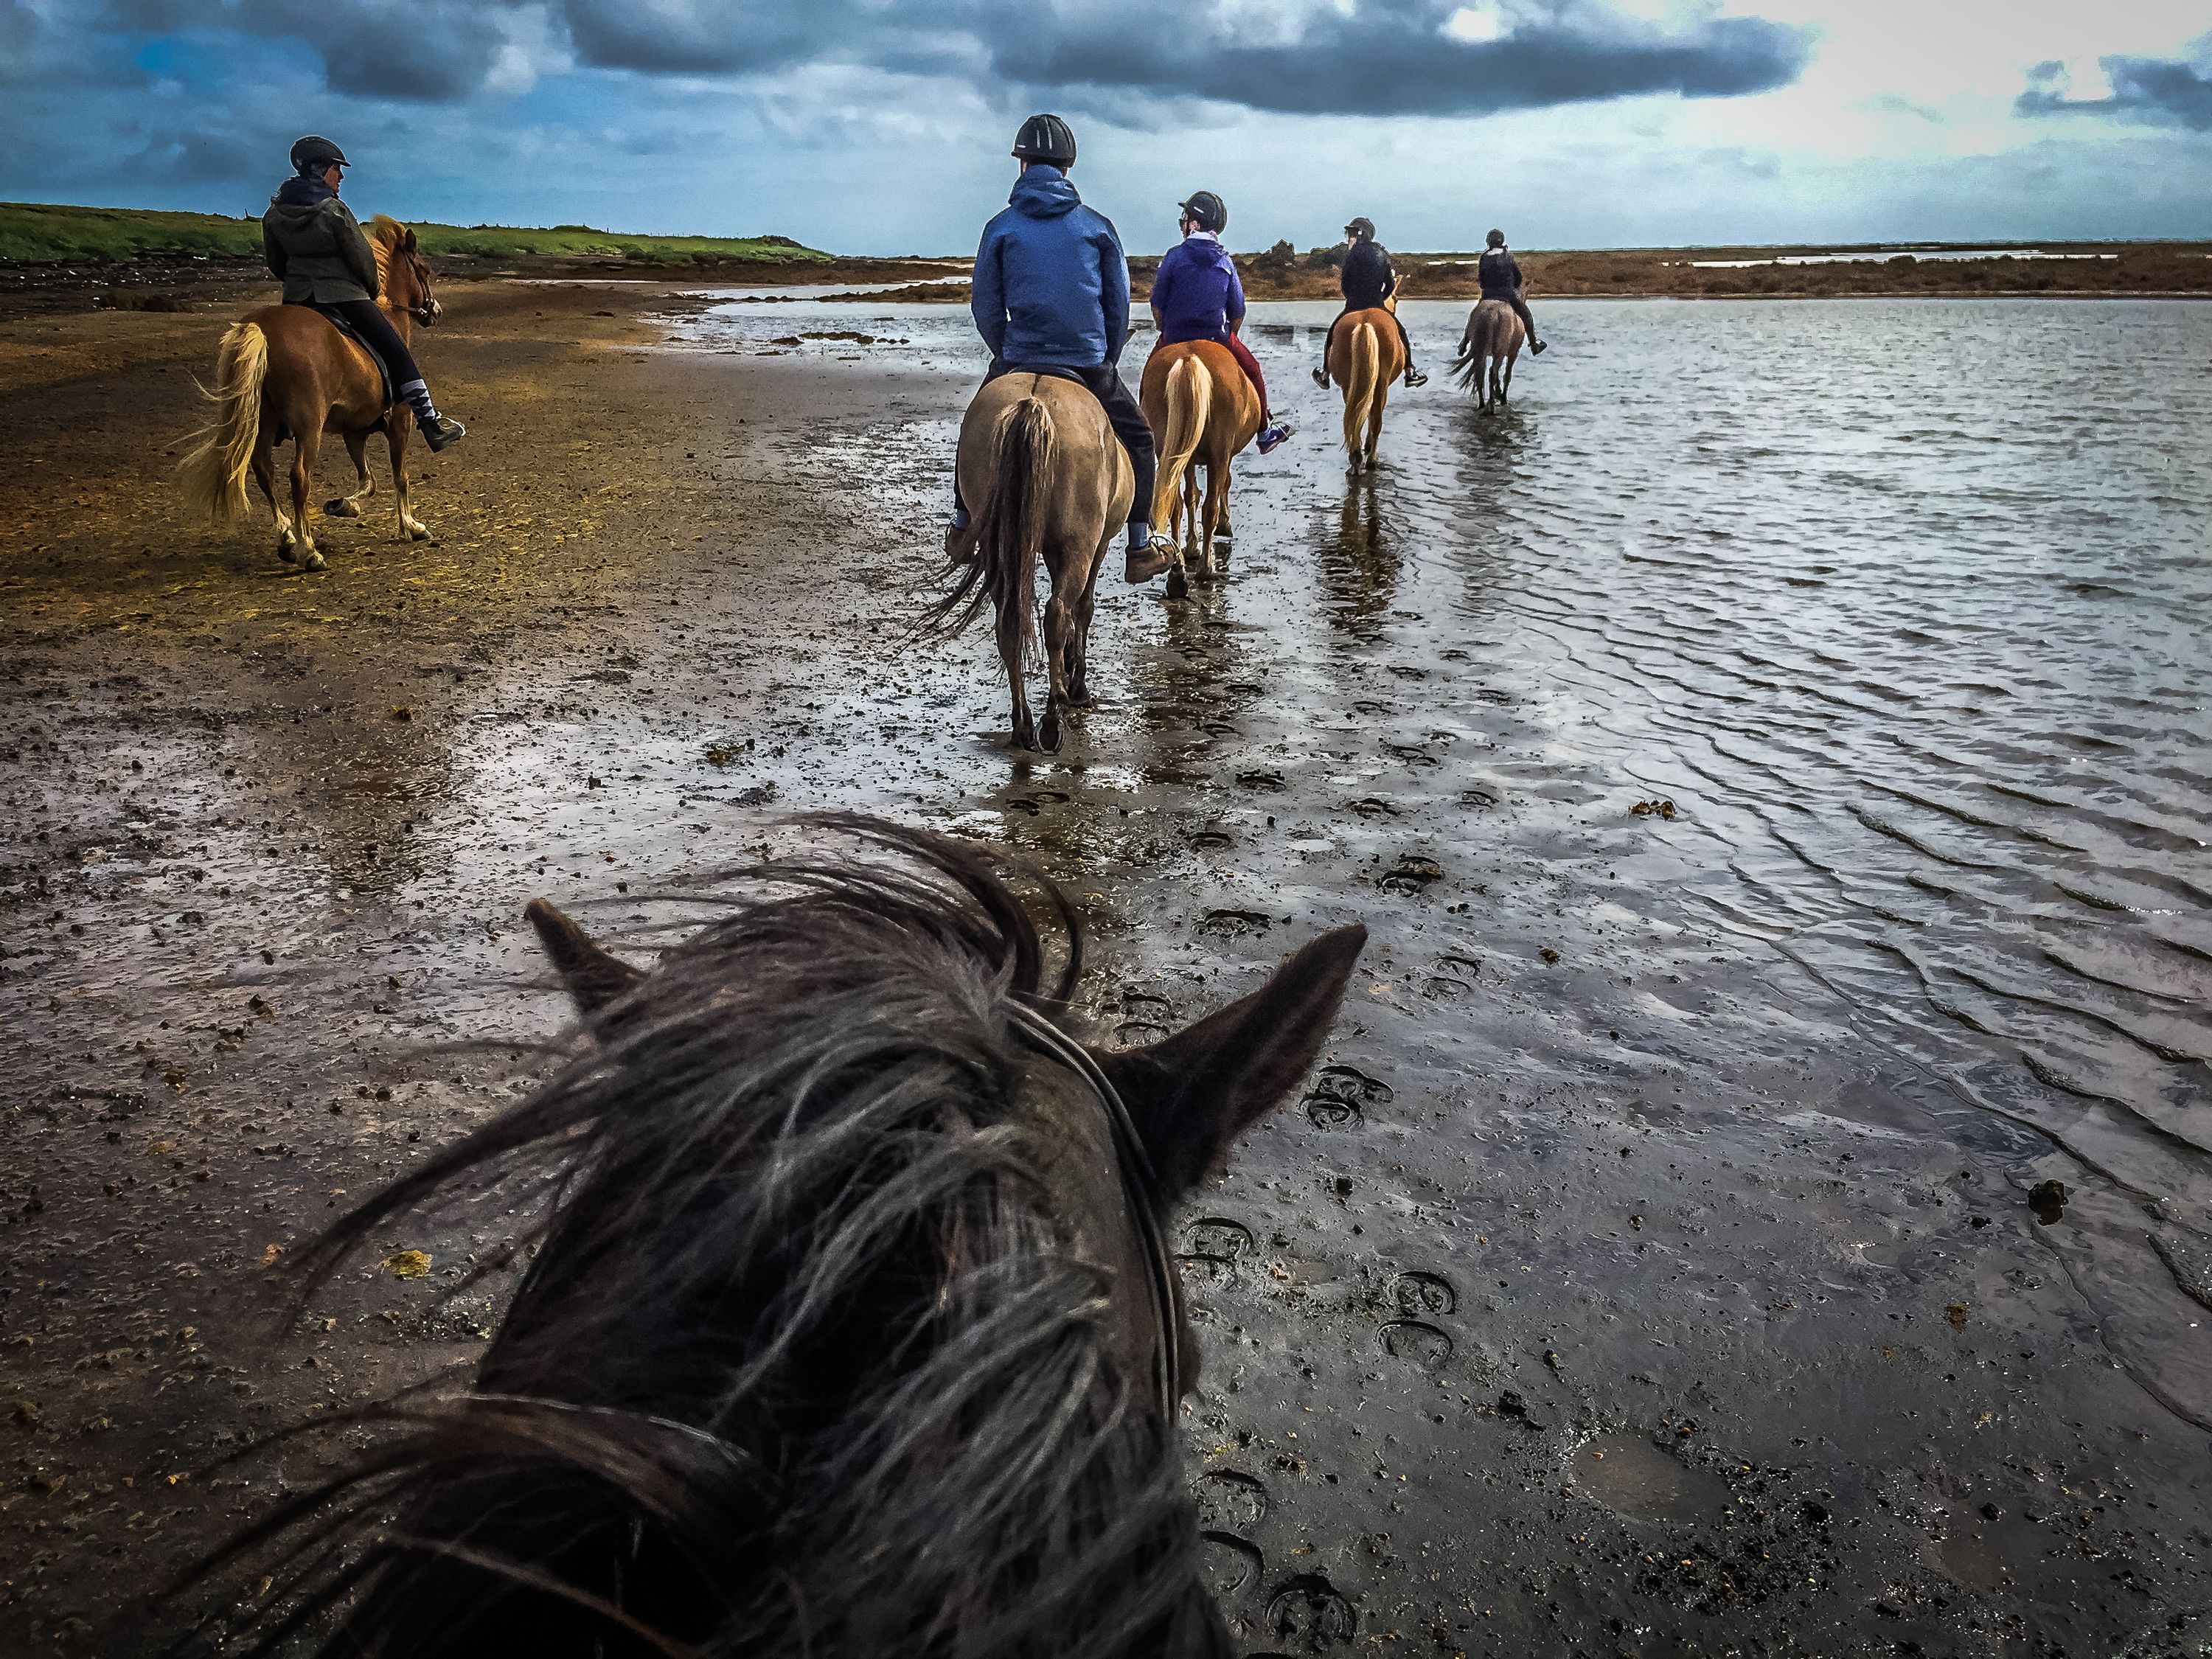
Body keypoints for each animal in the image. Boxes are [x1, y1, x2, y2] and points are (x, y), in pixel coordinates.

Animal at [176, 215, 443, 573]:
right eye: (424, 270)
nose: (435, 311)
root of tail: (262, 328)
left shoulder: (354, 432)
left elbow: (368, 481)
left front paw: (343, 505)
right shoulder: (399, 422)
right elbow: (400, 476)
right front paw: (410, 526)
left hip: (265, 421)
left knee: (264, 471)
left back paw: (288, 539)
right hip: (308, 426)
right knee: (298, 477)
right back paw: (309, 550)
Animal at [941, 374, 1133, 753]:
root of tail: (1033, 403)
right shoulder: (1097, 546)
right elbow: (1083, 609)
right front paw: (1077, 684)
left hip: (999, 544)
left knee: (1009, 623)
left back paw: (1023, 724)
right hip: (1080, 545)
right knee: (1057, 614)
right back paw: (1052, 716)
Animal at [1138, 340, 1260, 601]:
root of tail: (1189, 358)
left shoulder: (1187, 457)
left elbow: (1190, 495)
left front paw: (1191, 545)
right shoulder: (1223, 457)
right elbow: (1224, 485)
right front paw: (1224, 524)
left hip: (1170, 449)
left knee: (1174, 504)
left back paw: (1177, 572)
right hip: (1219, 454)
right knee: (1209, 508)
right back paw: (1206, 567)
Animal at [1325, 305, 1406, 475]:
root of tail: (1364, 324)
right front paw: (1368, 446)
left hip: (1348, 385)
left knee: (1353, 416)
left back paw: (1355, 458)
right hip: (1381, 384)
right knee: (1376, 420)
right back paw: (1370, 460)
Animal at [1450, 298, 1524, 414]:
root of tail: (1492, 313)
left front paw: (1498, 393)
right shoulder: (1512, 354)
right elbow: (1507, 376)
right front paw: (1502, 397)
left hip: (1481, 353)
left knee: (1480, 374)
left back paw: (1482, 404)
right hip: (1499, 354)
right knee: (1492, 373)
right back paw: (1492, 405)